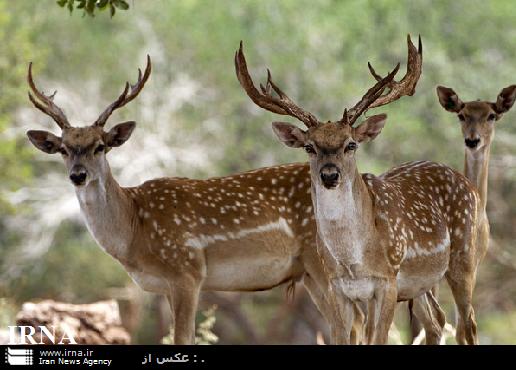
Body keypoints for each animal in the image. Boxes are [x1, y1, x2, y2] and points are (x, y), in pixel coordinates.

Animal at [236, 36, 486, 346]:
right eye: (309, 147)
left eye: (350, 144)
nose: (330, 174)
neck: (353, 261)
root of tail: (469, 185)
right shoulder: (336, 287)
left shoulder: (388, 281)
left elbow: (378, 338)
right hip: (421, 284)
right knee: (437, 320)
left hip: (465, 257)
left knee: (469, 323)